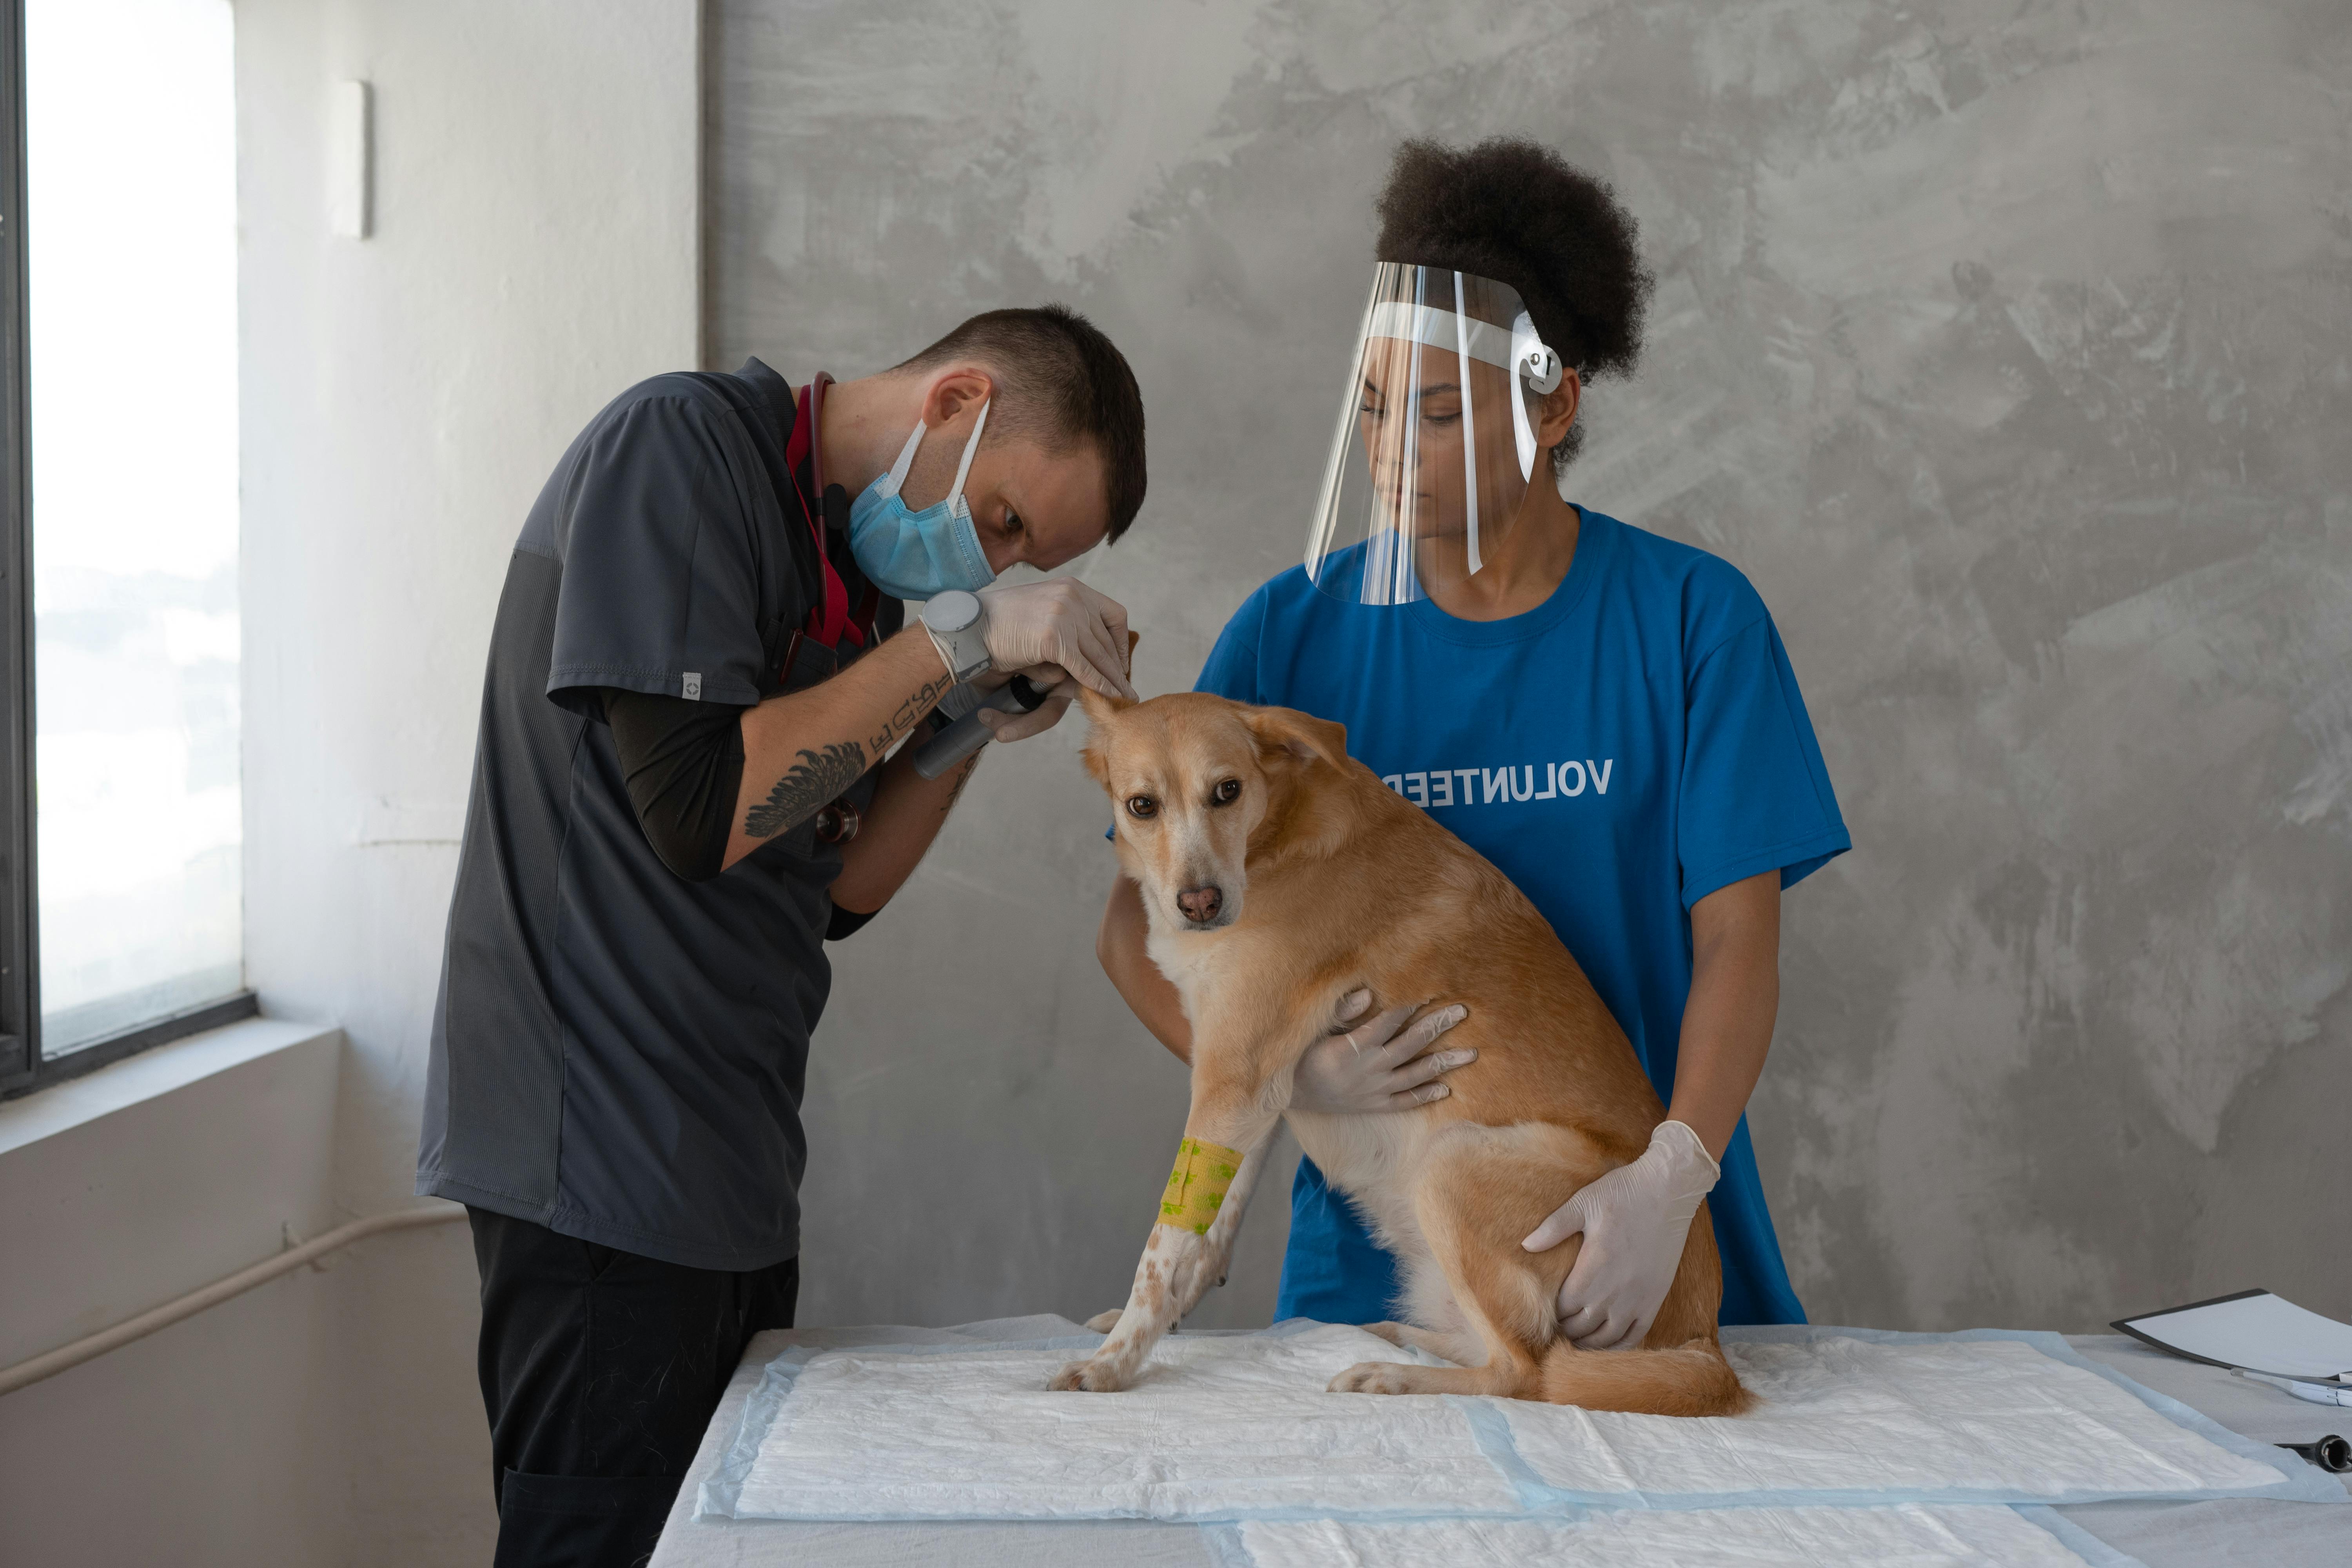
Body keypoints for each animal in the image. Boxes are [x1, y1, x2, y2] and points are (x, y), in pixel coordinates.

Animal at [1058, 691, 1759, 1420]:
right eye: (1142, 806)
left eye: (1227, 790)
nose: (1201, 904)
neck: (1274, 840)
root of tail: (1706, 1344)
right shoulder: (1257, 1090)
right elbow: (1204, 1228)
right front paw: (1151, 1326)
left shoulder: (1234, 1083)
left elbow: (1161, 1249)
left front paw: (1113, 1363)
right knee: (1500, 1352)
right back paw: (1396, 1336)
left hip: (1452, 1163)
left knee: (1526, 1372)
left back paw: (1390, 1375)